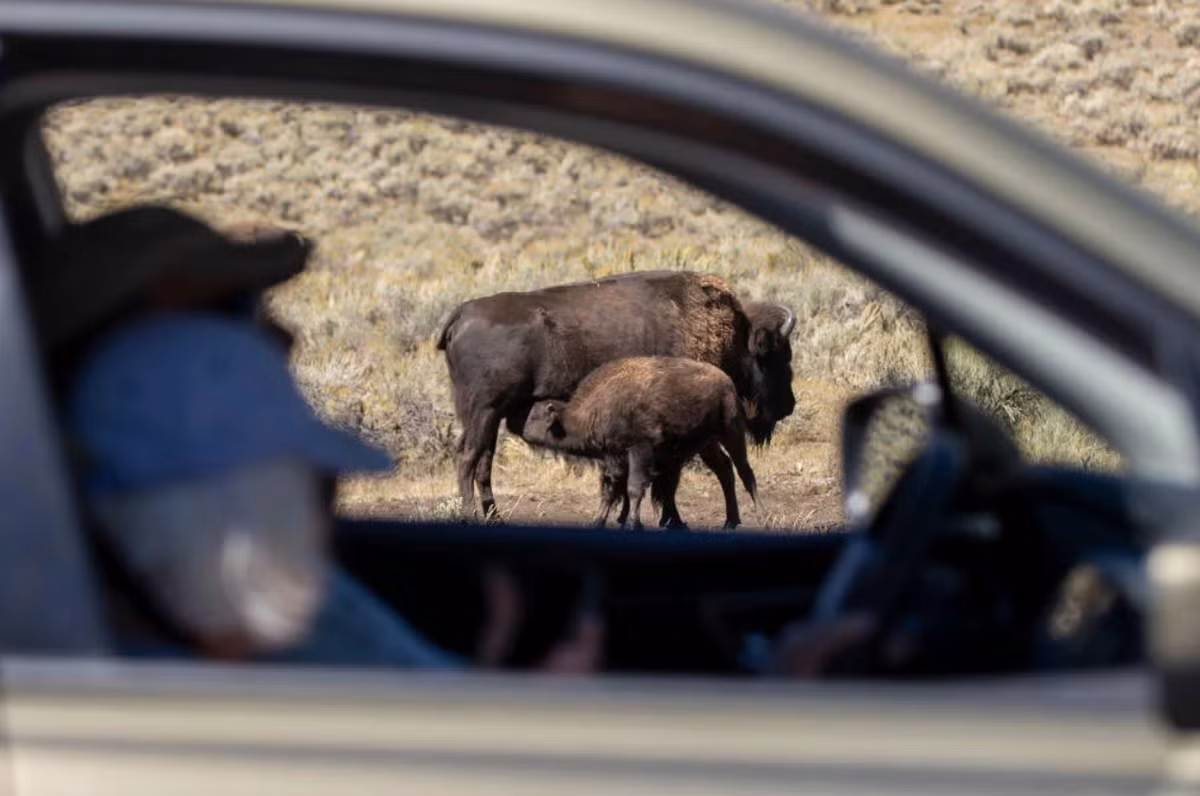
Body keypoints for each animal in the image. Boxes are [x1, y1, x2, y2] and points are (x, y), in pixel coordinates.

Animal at [437, 270, 796, 521]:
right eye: (778, 355)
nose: (789, 405)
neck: (733, 336)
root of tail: (461, 315)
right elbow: (666, 480)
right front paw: (668, 520)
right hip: (484, 410)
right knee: (468, 457)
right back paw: (472, 516)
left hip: (489, 415)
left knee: (482, 461)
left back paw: (493, 516)